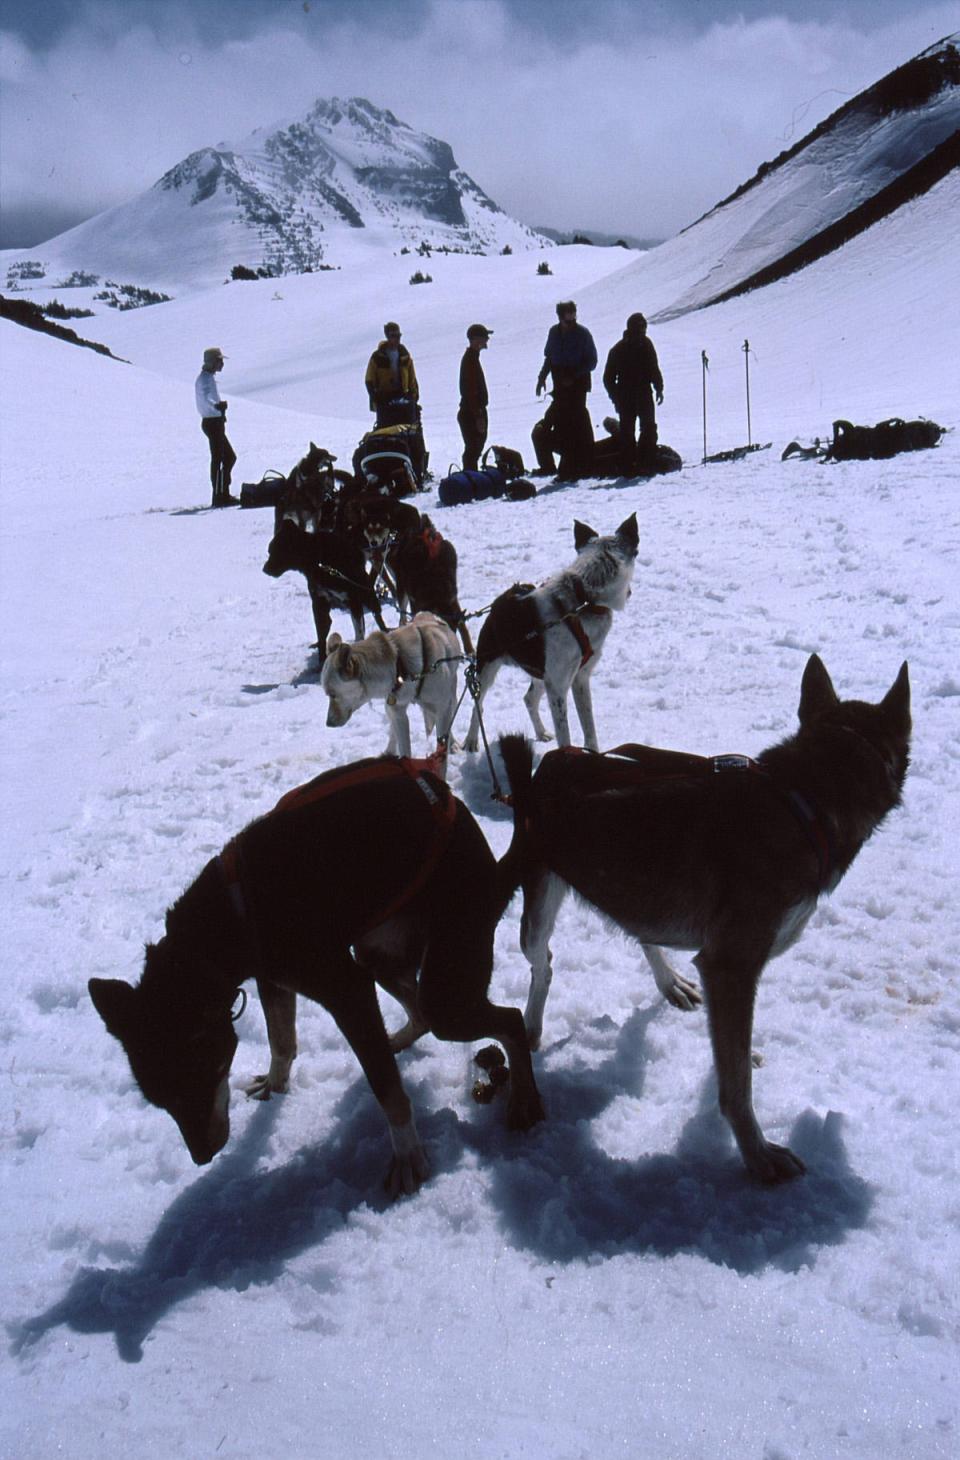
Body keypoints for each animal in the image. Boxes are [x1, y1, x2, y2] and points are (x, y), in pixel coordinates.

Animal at [88, 759, 542, 1191]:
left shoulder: (347, 991)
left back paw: (525, 1100)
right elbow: (282, 1041)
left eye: (198, 1081)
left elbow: (388, 1090)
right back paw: (398, 1039)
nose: (202, 1156)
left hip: (444, 993)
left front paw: (408, 1156)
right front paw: (275, 1085)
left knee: (508, 1021)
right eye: (161, 1101)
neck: (236, 911)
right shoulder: (276, 981)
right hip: (378, 955)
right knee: (419, 1013)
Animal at [264, 519, 388, 668]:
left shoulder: (353, 600)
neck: (318, 560)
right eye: (270, 550)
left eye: (274, 551)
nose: (264, 569)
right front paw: (321, 660)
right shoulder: (319, 603)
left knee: (378, 615)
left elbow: (359, 631)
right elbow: (321, 634)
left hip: (367, 594)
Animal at [319, 607, 461, 770]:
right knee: (393, 729)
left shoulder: (443, 708)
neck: (399, 665)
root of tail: (427, 613)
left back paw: (453, 743)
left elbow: (443, 739)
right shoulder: (398, 710)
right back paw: (389, 752)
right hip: (391, 707)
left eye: (332, 694)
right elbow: (403, 746)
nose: (328, 723)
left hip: (452, 697)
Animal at [461, 513, 636, 753]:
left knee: (528, 699)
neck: (582, 598)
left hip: (541, 674)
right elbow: (565, 735)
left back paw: (541, 732)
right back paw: (471, 740)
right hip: (487, 668)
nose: (630, 592)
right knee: (478, 705)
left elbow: (589, 727)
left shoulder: (579, 678)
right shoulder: (558, 686)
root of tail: (502, 599)